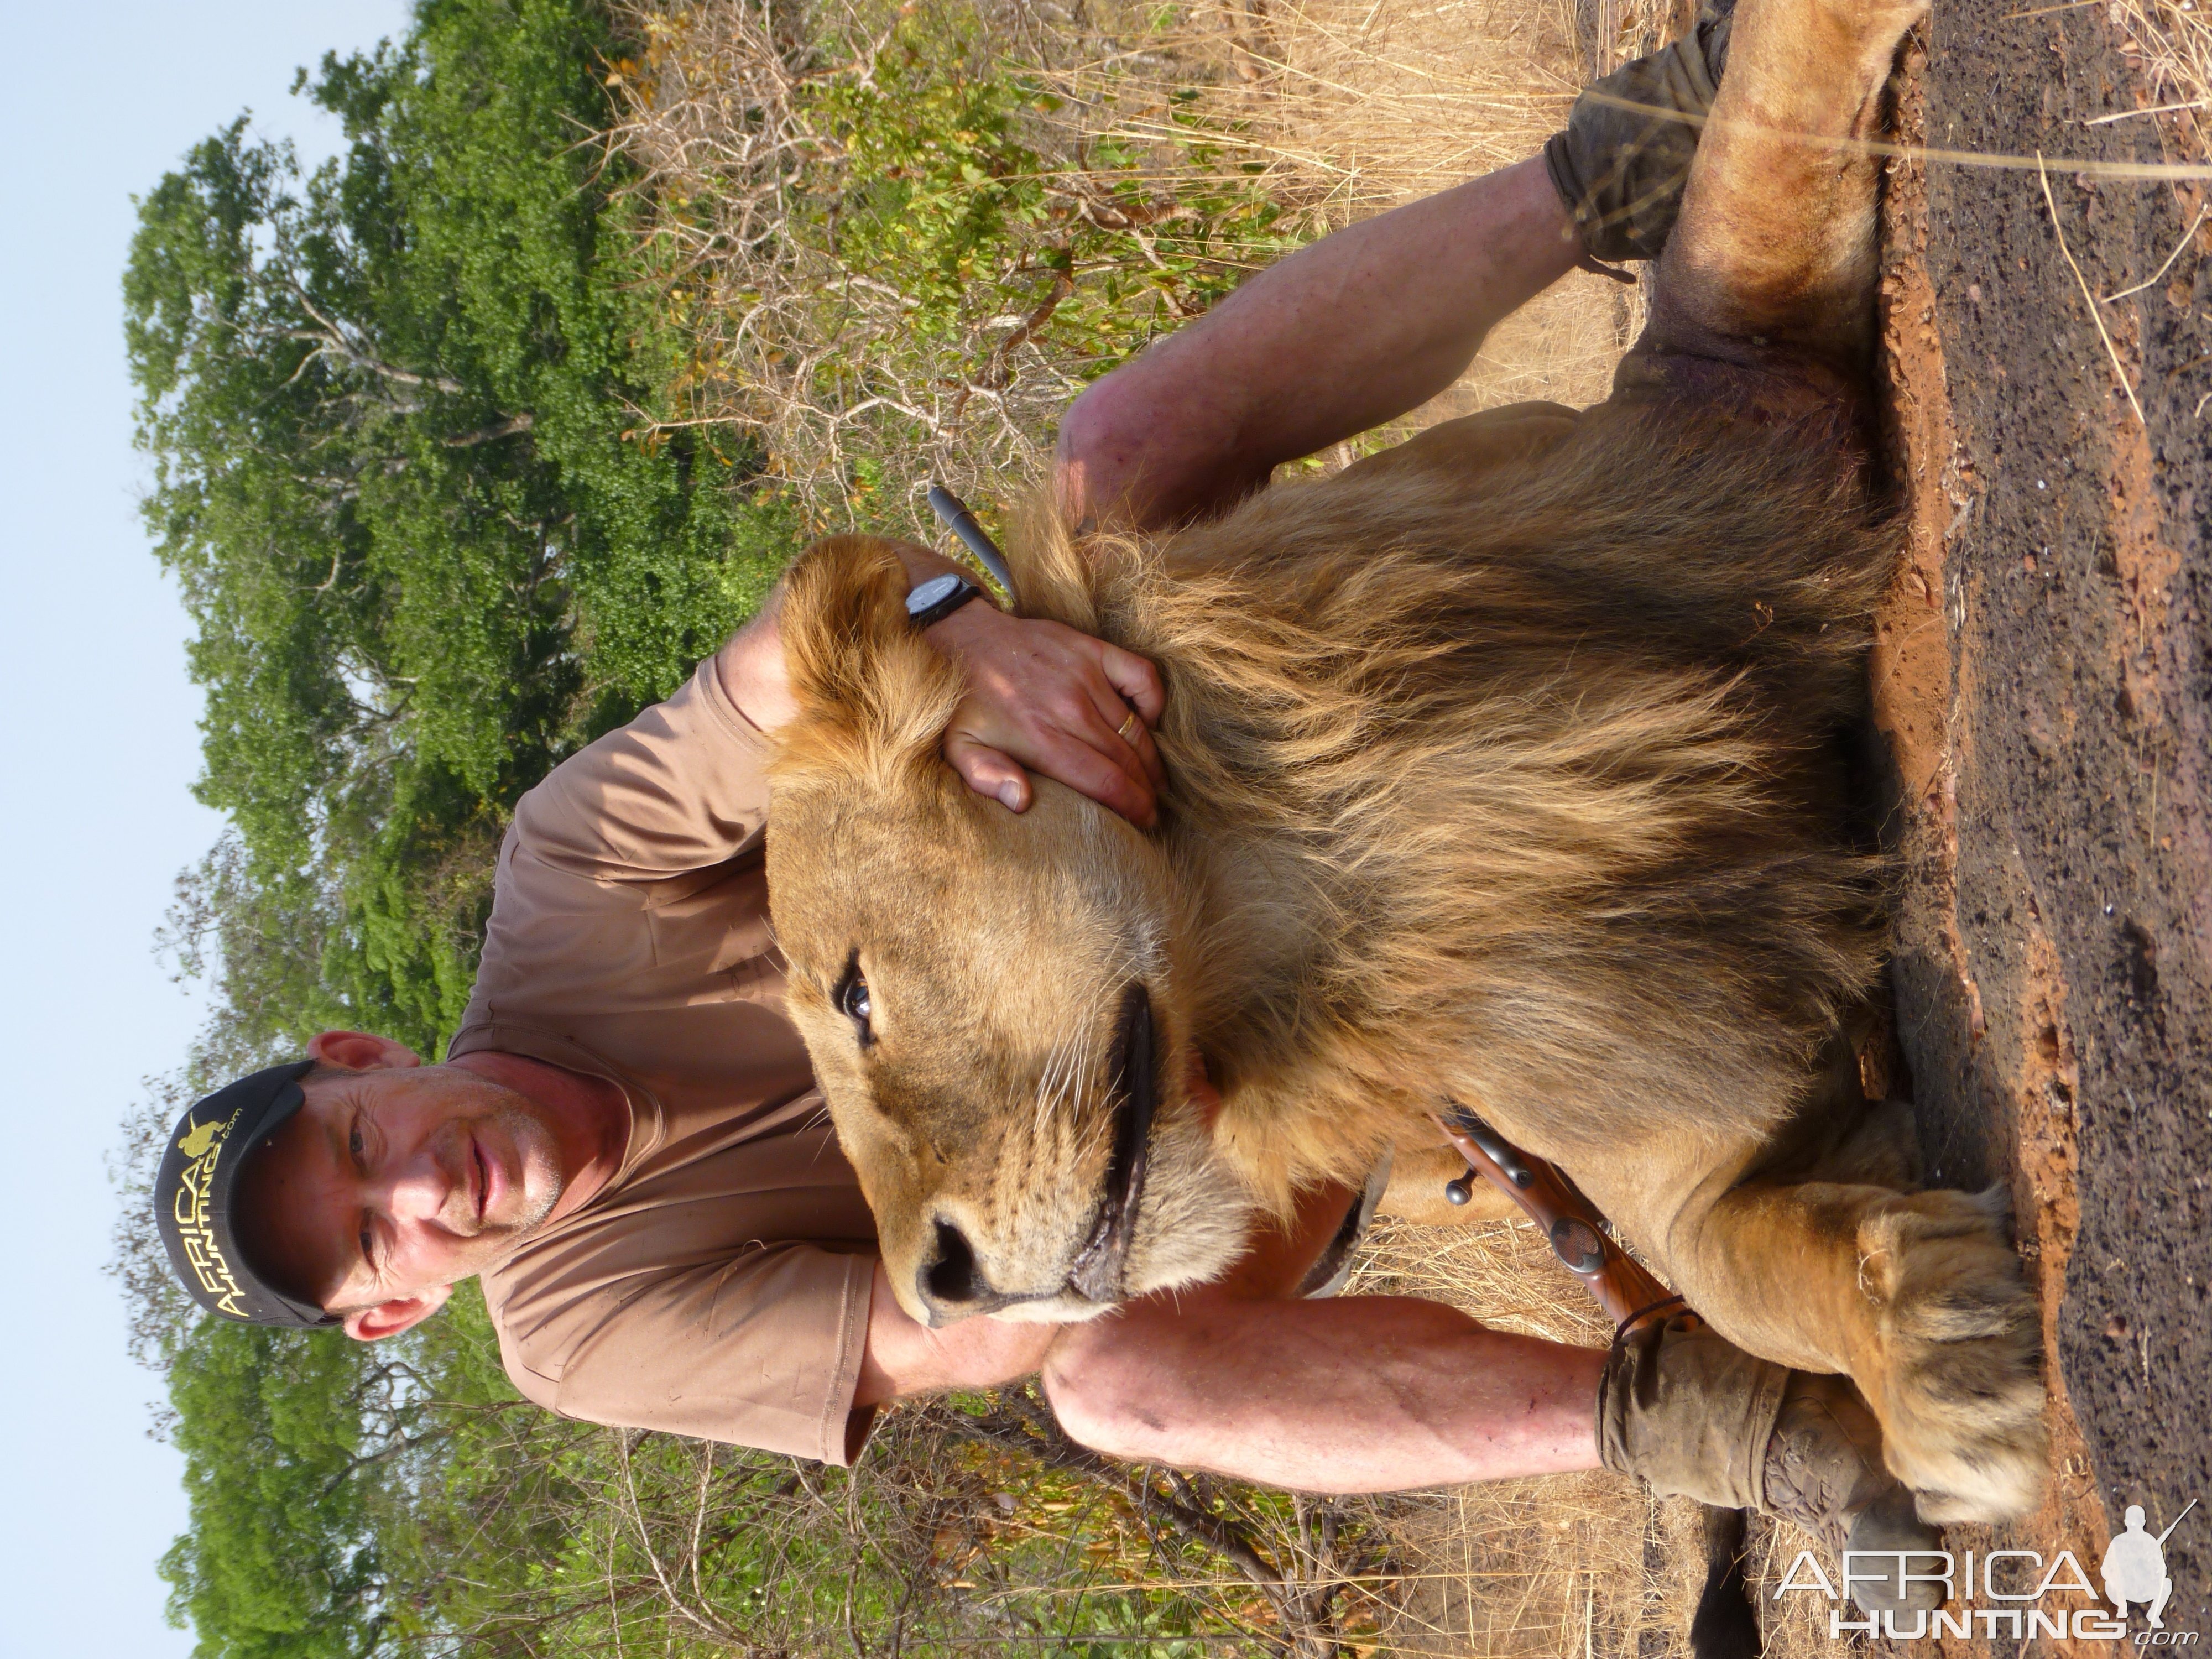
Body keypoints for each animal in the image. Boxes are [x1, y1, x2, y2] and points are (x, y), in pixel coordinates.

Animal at [770, 0, 2044, 1531]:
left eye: (854, 996)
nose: (935, 1291)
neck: (1353, 888)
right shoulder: (1673, 1146)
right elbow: (1766, 1271)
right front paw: (1934, 1363)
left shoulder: (1729, 379)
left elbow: (1777, 108)